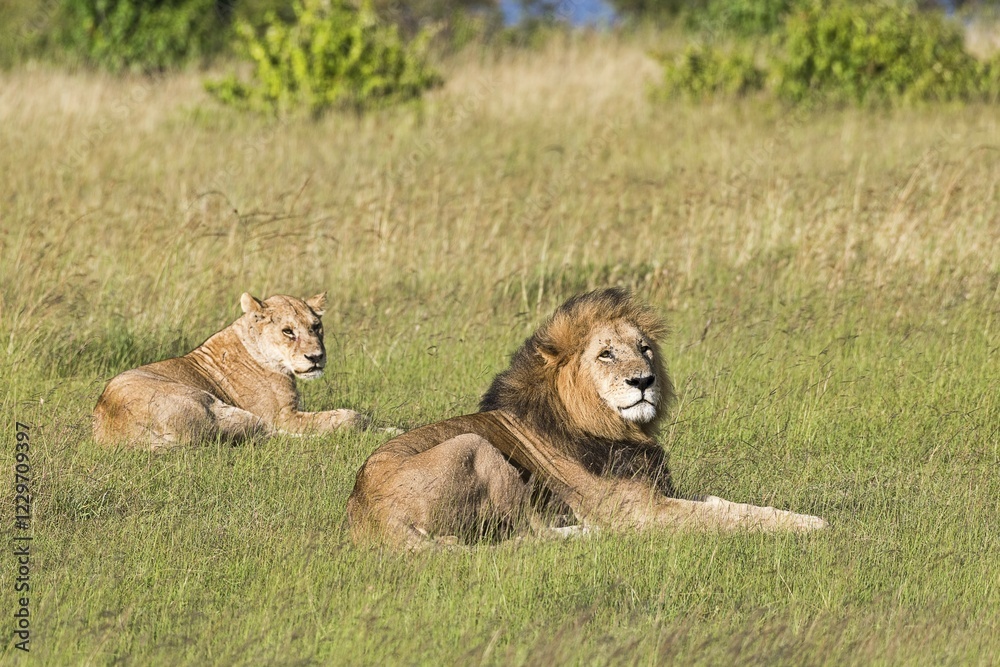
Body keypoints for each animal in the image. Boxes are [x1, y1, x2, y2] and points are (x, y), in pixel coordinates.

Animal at [93, 292, 368, 449]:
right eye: (288, 331)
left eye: (316, 326)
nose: (316, 357)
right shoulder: (283, 416)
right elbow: (348, 417)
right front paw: (363, 422)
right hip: (221, 410)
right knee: (269, 436)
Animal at [347, 288, 826, 550]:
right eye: (606, 354)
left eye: (645, 348)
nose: (644, 380)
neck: (613, 427)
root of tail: (368, 517)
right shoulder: (638, 513)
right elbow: (726, 520)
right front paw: (815, 527)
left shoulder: (660, 493)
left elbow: (728, 506)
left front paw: (802, 517)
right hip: (475, 446)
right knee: (528, 534)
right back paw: (584, 535)